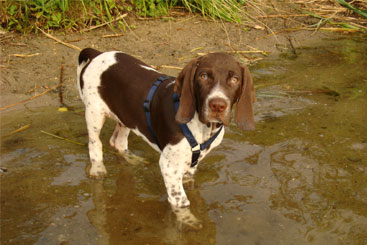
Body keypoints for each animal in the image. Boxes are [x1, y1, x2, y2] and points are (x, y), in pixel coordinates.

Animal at [77, 48, 256, 209]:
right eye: (203, 76)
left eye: (235, 79)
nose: (218, 105)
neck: (204, 127)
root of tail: (97, 54)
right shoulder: (169, 166)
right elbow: (181, 203)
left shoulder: (190, 166)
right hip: (94, 112)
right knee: (95, 143)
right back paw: (98, 169)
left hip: (126, 114)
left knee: (118, 142)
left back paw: (132, 159)